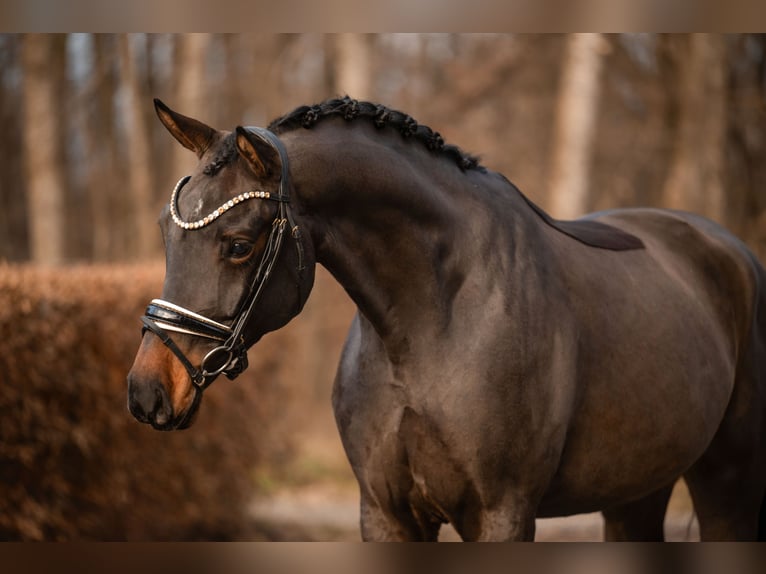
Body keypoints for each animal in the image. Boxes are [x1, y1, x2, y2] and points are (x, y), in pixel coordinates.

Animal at [127, 96, 766, 541]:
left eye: (237, 245)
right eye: (164, 232)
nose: (146, 392)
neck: (427, 327)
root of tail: (731, 251)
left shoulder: (503, 513)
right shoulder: (385, 513)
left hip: (728, 484)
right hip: (637, 492)